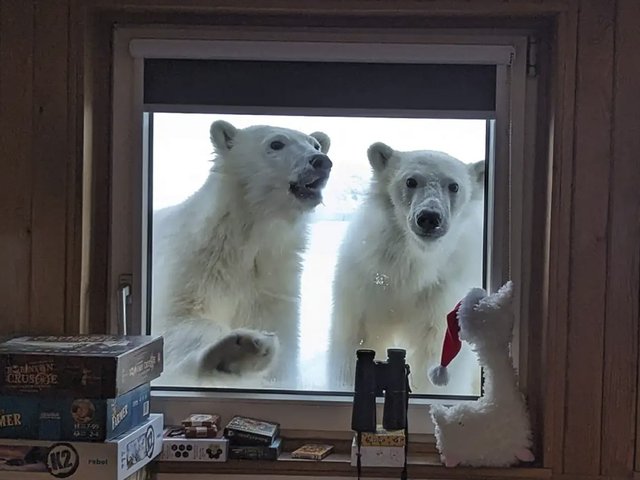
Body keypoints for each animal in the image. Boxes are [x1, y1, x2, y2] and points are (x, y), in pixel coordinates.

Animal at [150, 120, 330, 386]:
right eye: (276, 143)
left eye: (316, 144)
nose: (321, 161)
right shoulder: (191, 266)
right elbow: (175, 321)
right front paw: (242, 348)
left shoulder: (271, 285)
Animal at [330, 142, 484, 394]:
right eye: (410, 181)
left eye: (454, 185)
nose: (429, 217)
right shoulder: (367, 279)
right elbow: (358, 337)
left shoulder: (442, 292)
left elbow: (436, 349)